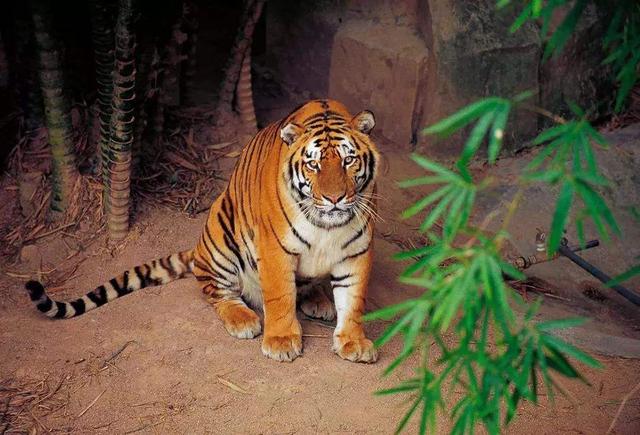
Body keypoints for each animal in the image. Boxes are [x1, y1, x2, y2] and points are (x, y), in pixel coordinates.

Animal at [25, 99, 380, 363]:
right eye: (313, 164)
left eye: (348, 160)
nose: (334, 198)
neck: (327, 226)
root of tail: (197, 251)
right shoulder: (274, 249)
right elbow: (280, 295)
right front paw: (280, 341)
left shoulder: (357, 250)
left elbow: (353, 301)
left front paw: (353, 342)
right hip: (222, 235)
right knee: (217, 291)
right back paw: (244, 320)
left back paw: (318, 300)